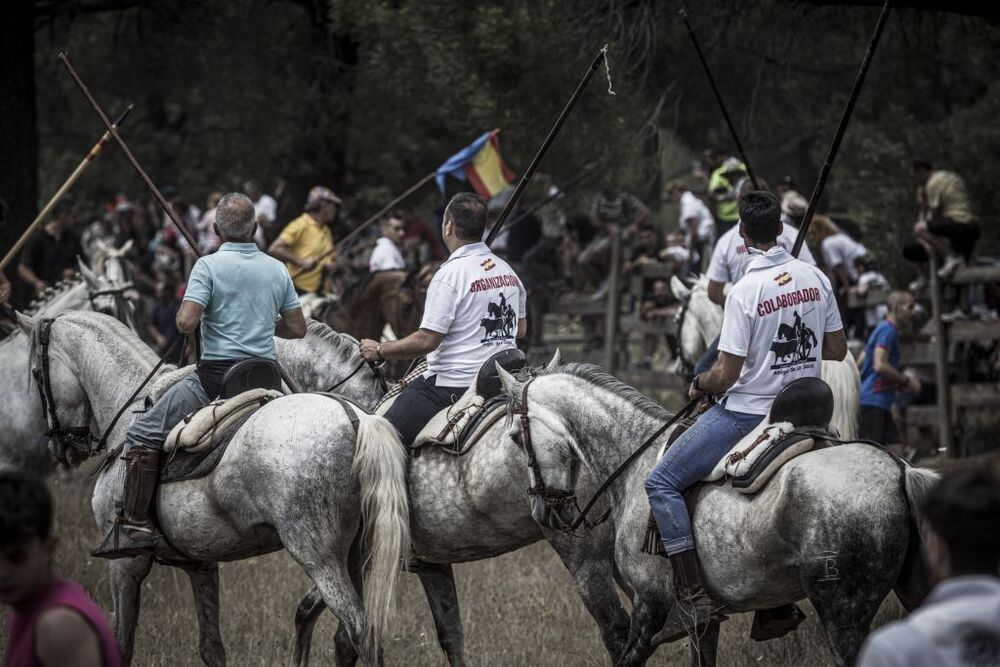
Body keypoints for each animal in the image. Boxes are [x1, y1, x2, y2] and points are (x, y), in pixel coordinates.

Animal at [25, 314, 412, 667]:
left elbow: (122, 646)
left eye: (35, 375)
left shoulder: (126, 564)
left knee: (358, 629)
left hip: (319, 556)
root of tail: (360, 419)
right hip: (359, 554)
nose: (62, 448)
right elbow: (212, 648)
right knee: (357, 634)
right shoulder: (200, 563)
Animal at [498, 366, 936, 667]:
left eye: (516, 437)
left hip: (842, 610)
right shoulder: (704, 623)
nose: (542, 512)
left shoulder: (650, 606)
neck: (634, 460)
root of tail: (898, 469)